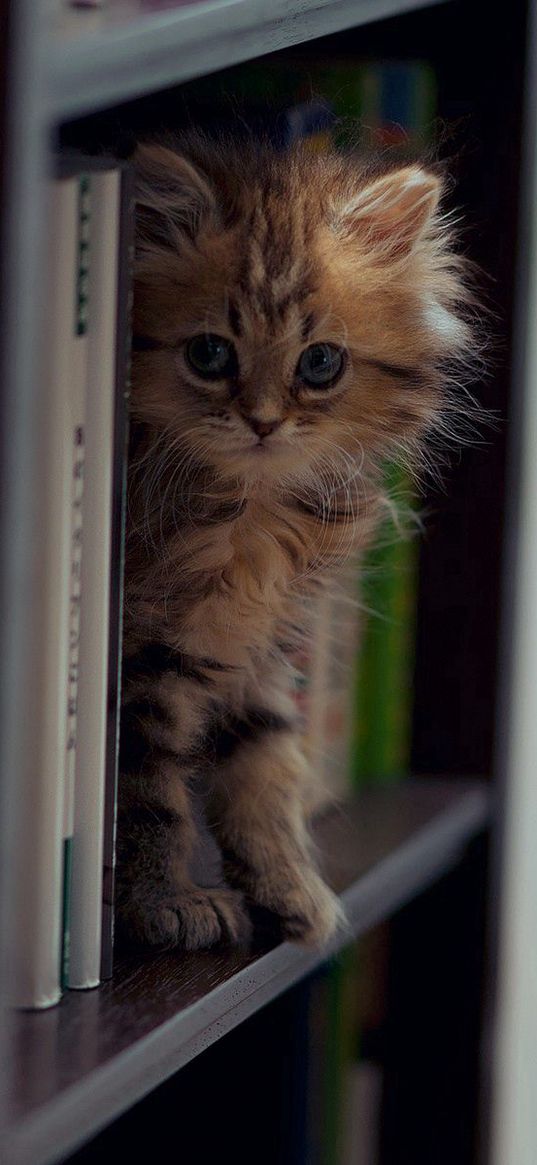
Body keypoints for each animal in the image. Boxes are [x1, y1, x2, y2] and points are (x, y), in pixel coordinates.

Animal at [118, 136, 472, 950]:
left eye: (320, 364)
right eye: (210, 355)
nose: (263, 422)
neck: (247, 516)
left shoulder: (265, 650)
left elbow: (266, 772)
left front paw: (292, 888)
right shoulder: (139, 658)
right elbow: (148, 797)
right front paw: (165, 903)